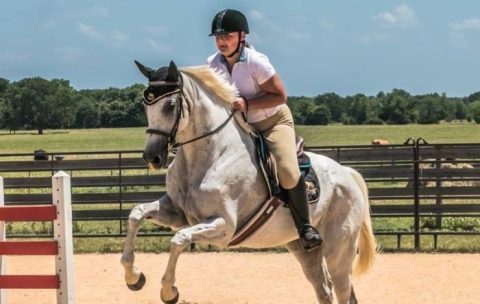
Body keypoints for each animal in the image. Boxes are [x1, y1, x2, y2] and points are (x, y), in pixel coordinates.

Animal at [120, 60, 376, 302]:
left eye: (170, 105)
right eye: (146, 104)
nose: (152, 157)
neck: (212, 154)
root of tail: (348, 174)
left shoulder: (224, 226)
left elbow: (178, 239)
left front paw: (169, 291)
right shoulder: (177, 213)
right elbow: (136, 213)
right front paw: (134, 277)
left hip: (338, 250)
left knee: (344, 293)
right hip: (304, 249)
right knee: (324, 291)